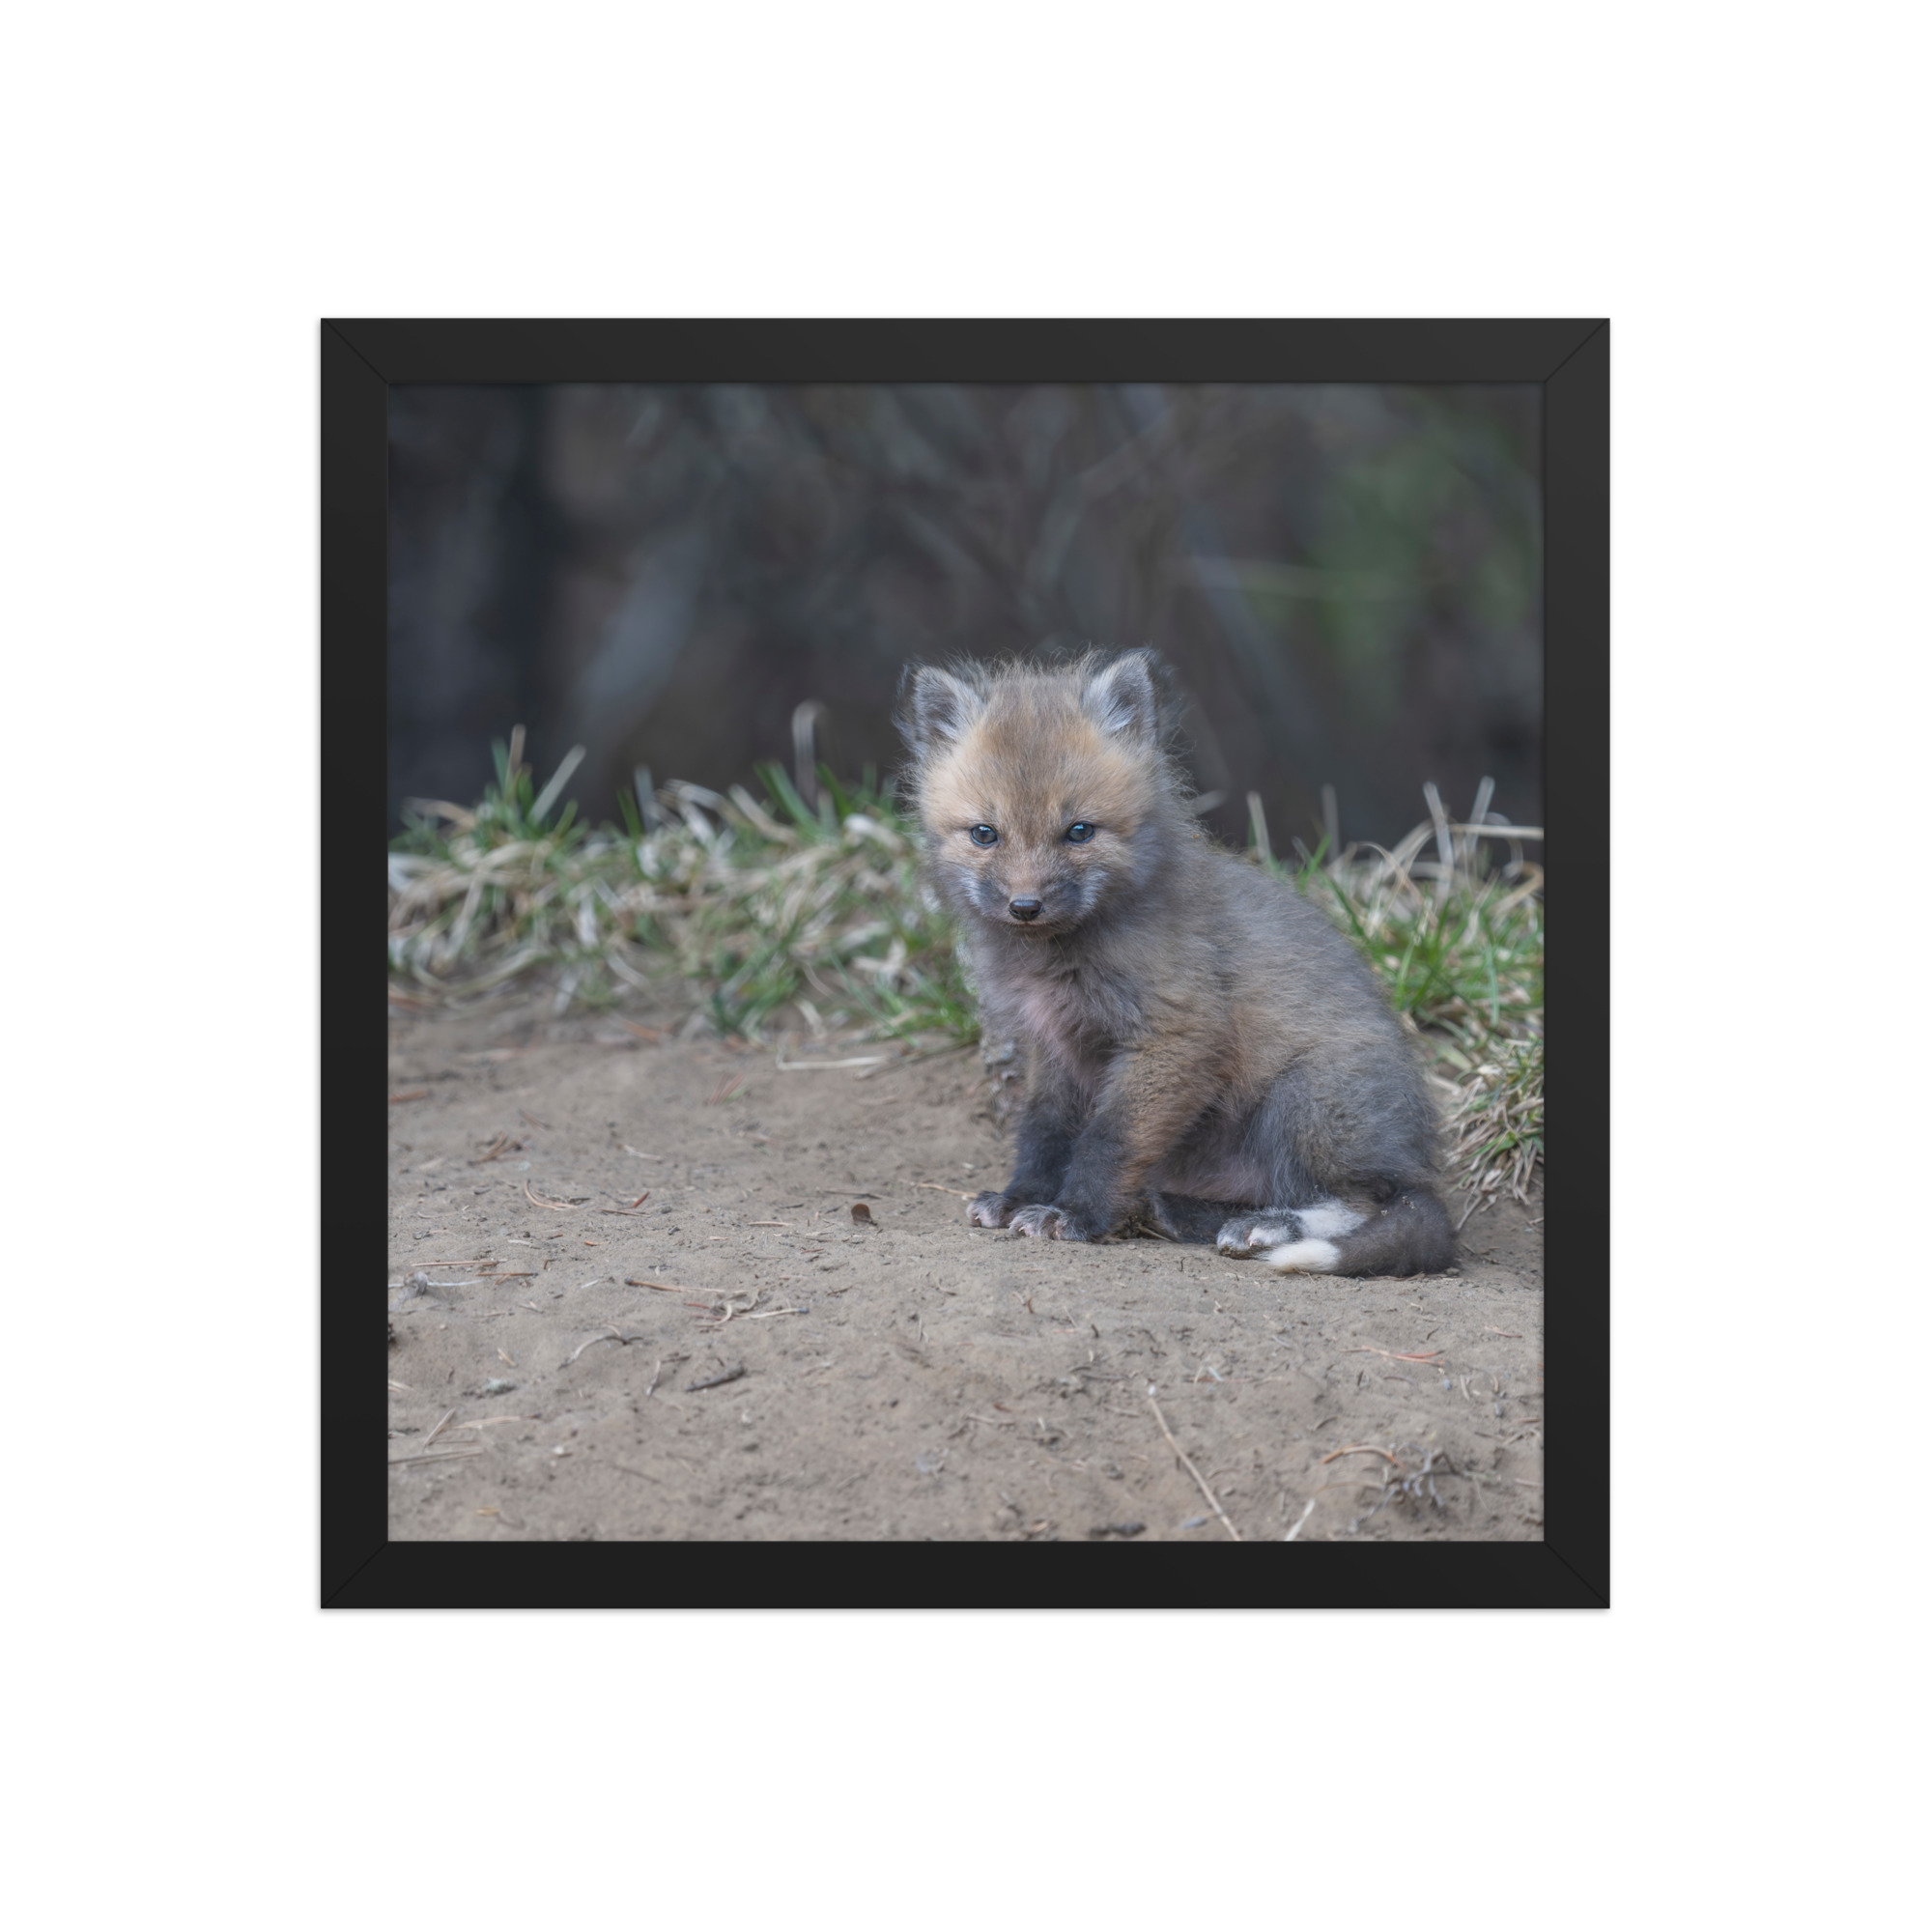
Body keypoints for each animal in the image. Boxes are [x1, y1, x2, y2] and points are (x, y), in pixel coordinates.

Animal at [896, 648, 1456, 1278]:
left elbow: (1108, 1140)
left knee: (1372, 1201)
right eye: (985, 834)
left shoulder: (1175, 1035)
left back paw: (1268, 1227)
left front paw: (1075, 1215)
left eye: (1079, 831)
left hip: (1305, 1100)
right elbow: (1043, 1133)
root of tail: (1417, 1157)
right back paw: (1181, 1212)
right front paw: (1021, 1197)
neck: (1057, 959)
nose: (1025, 906)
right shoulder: (1055, 1047)